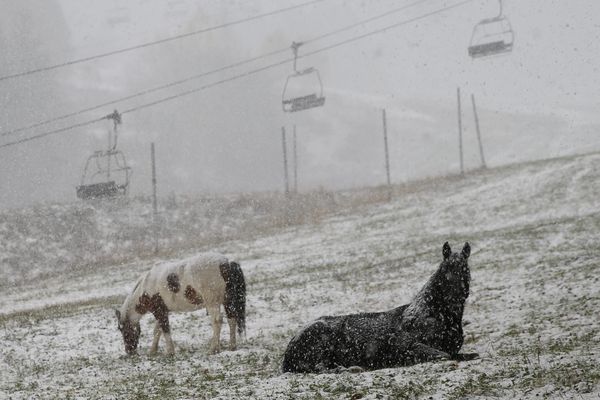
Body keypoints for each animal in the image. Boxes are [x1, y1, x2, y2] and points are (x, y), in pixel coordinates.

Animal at [115, 253, 246, 356]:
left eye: (123, 330)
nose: (129, 351)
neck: (146, 286)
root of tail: (226, 263)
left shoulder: (159, 312)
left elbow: (165, 329)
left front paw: (170, 352)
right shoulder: (162, 311)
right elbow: (157, 330)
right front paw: (153, 351)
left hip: (212, 303)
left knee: (217, 321)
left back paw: (213, 349)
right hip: (227, 301)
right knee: (231, 319)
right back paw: (232, 346)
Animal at [282, 242, 478, 374]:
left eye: (466, 269)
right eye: (446, 269)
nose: (458, 295)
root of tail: (288, 352)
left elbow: (466, 355)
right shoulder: (408, 346)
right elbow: (443, 355)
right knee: (318, 367)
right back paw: (348, 368)